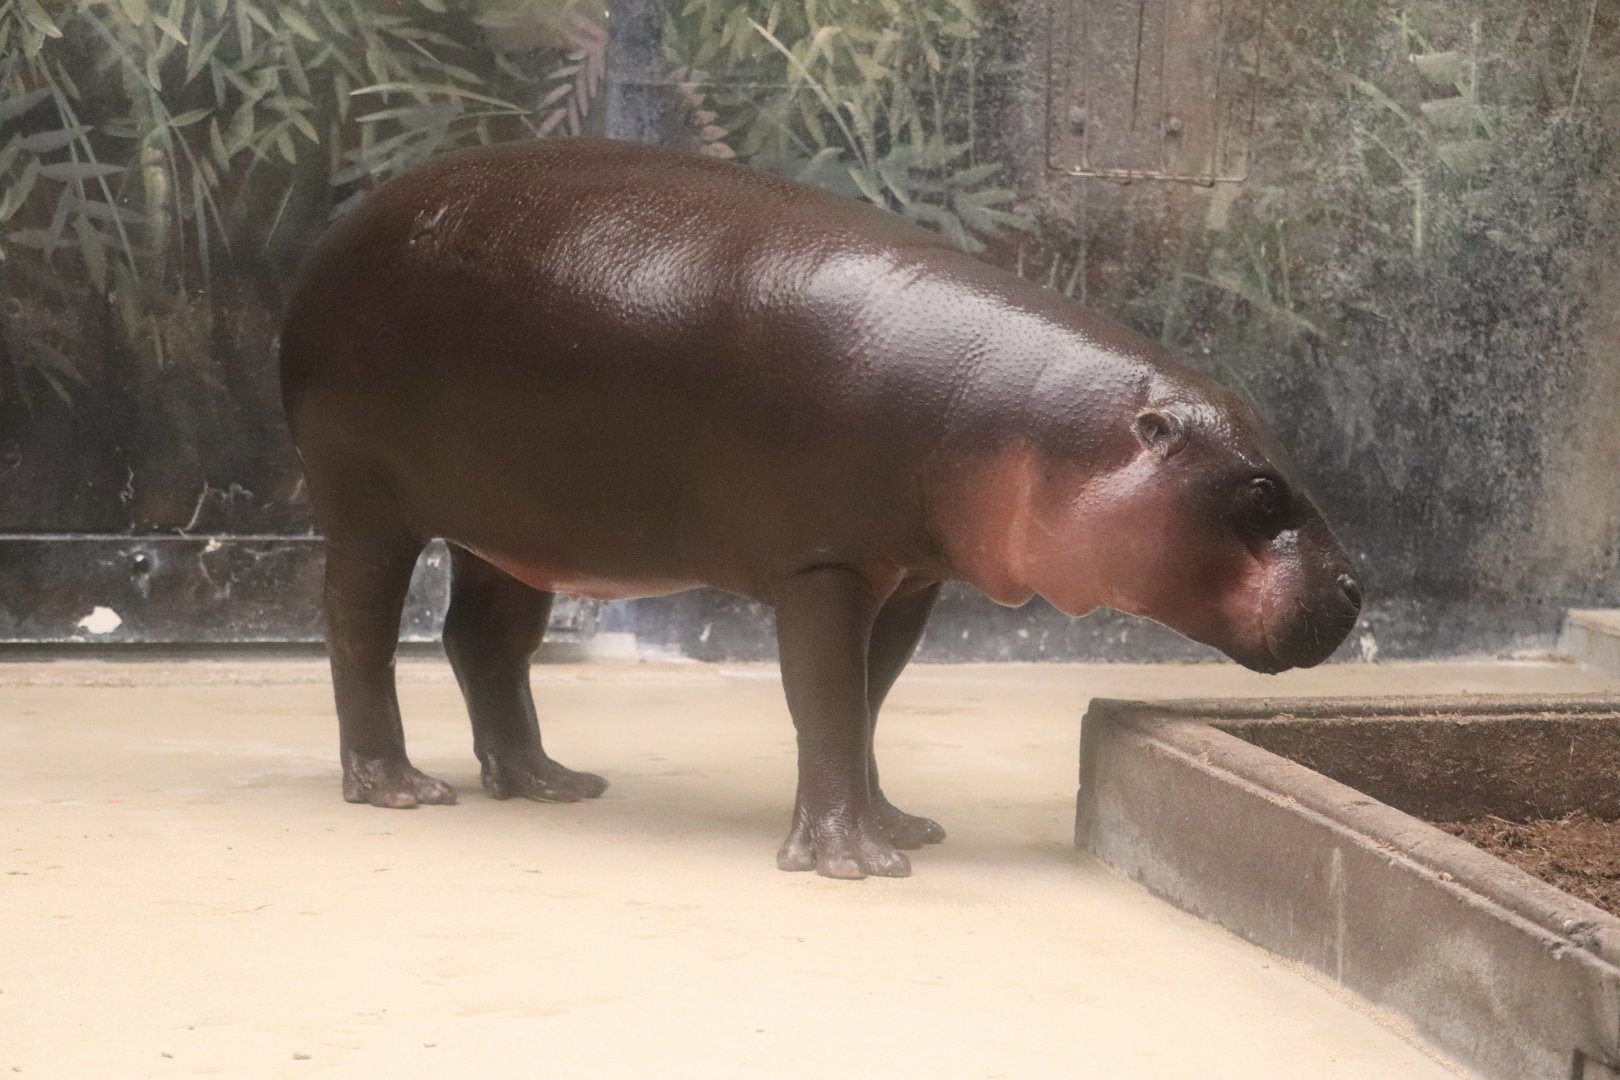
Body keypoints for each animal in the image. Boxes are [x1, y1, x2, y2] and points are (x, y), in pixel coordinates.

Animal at [279, 137, 1361, 879]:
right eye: (1261, 492)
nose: (1357, 587)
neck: (1039, 420)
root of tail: (331, 241)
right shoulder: (825, 565)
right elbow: (829, 700)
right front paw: (855, 864)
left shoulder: (909, 577)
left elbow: (867, 702)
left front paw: (903, 828)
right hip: (367, 504)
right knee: (358, 635)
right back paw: (401, 792)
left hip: (512, 529)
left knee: (483, 642)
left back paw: (550, 782)